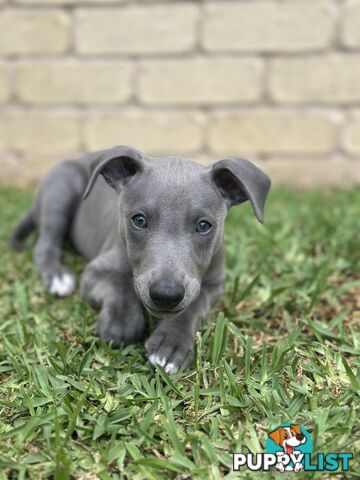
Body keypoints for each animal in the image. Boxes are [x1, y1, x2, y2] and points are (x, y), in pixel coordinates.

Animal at [10, 146, 270, 376]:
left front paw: (171, 343)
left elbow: (192, 305)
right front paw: (121, 322)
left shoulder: (213, 284)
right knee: (45, 244)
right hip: (60, 190)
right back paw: (57, 275)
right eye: (139, 220)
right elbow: (119, 284)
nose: (166, 294)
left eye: (204, 225)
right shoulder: (95, 271)